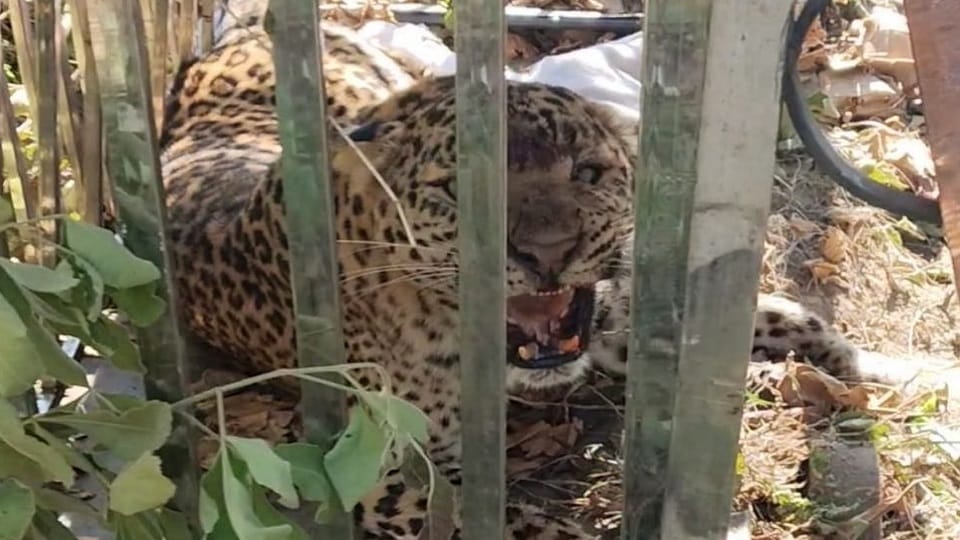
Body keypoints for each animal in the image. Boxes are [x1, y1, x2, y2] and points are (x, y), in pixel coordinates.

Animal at [159, 8, 914, 539]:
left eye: (587, 172)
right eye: (457, 191)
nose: (546, 252)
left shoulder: (617, 325)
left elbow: (784, 316)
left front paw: (863, 372)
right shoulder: (382, 468)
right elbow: (501, 521)